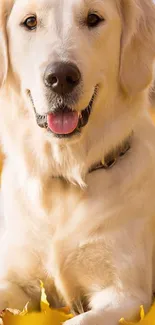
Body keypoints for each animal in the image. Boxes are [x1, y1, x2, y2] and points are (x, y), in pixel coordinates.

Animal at [0, 0, 155, 322]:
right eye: (30, 22)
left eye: (94, 18)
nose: (61, 78)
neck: (66, 175)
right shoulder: (16, 279)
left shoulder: (127, 296)